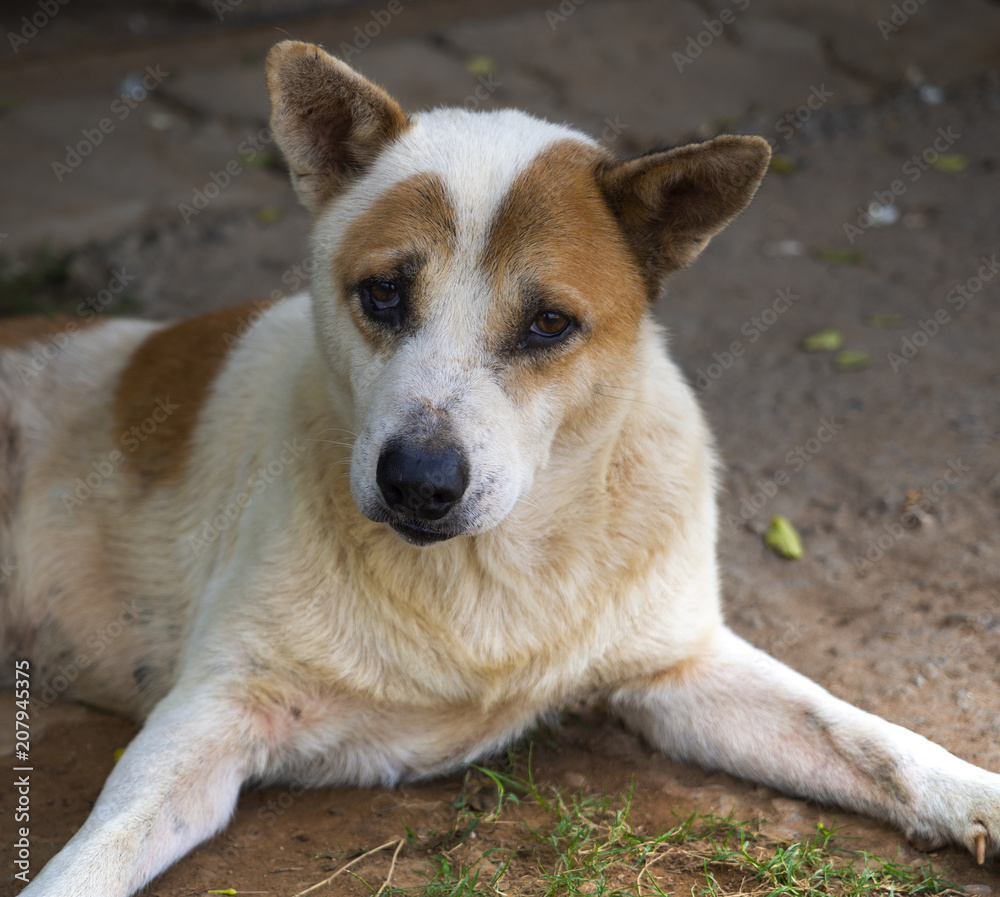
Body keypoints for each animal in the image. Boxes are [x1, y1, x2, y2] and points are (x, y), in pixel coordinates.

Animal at [5, 40, 1000, 888]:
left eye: (549, 323)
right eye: (383, 293)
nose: (418, 481)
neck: (490, 571)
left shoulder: (679, 672)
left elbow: (863, 733)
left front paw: (972, 791)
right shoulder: (209, 713)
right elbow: (99, 850)